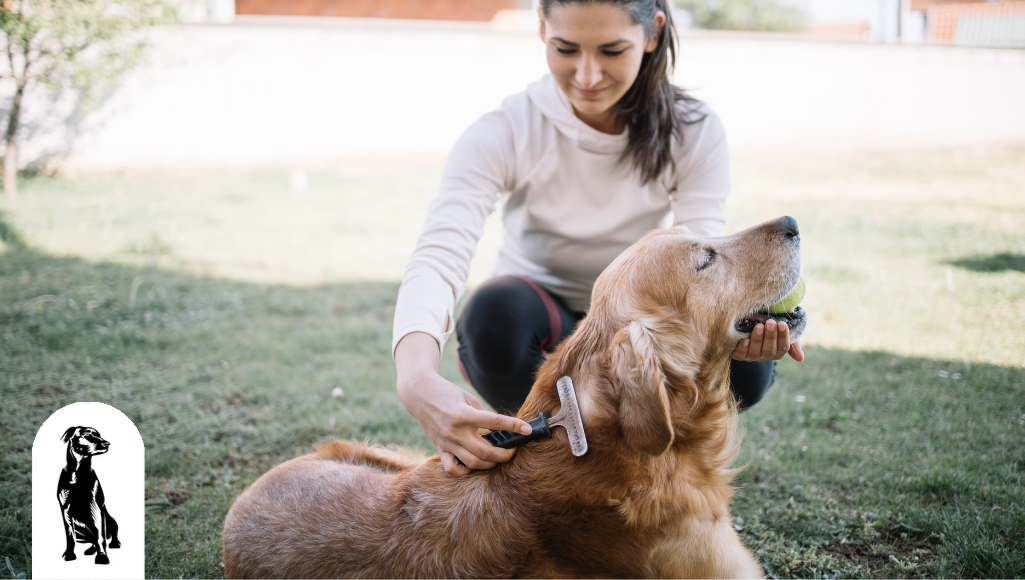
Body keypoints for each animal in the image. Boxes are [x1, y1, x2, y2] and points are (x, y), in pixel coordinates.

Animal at [58, 424, 120, 565]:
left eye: (99, 435)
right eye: (87, 435)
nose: (107, 443)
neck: (78, 472)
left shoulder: (96, 506)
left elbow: (100, 536)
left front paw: (102, 556)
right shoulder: (65, 509)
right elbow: (70, 536)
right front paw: (69, 554)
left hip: (110, 519)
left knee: (109, 533)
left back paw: (113, 544)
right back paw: (91, 550)